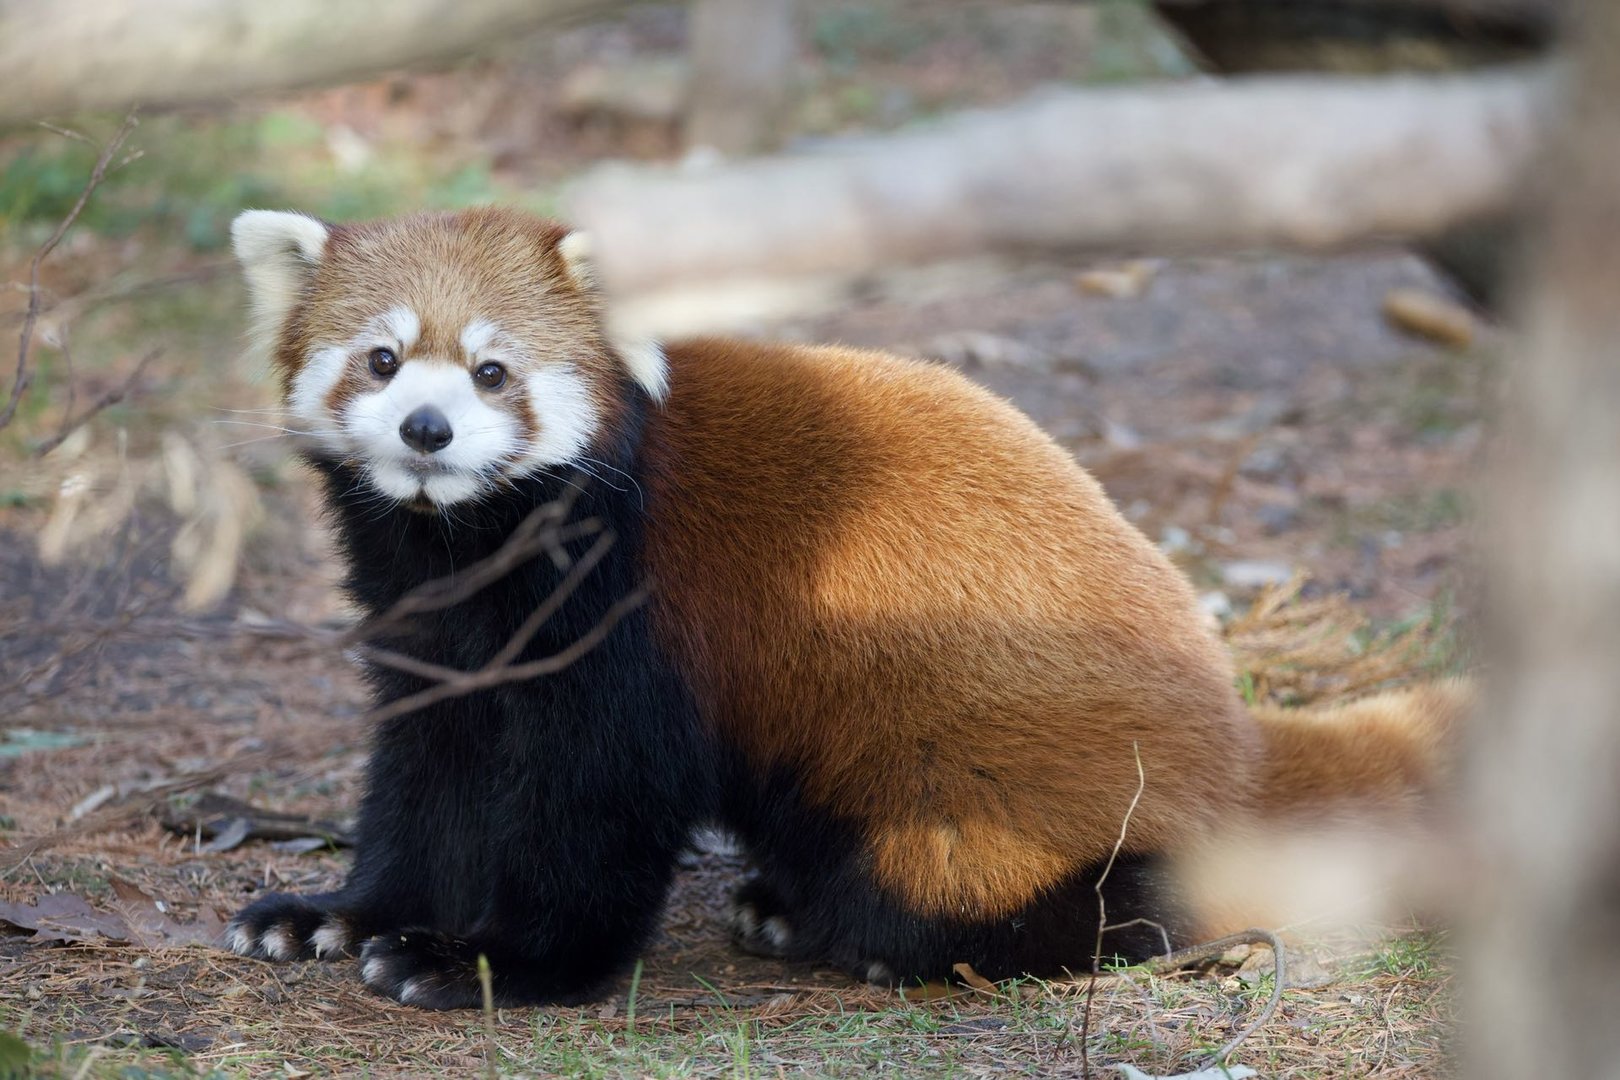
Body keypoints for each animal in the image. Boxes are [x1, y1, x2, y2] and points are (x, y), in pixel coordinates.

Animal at [223, 206, 1464, 1009]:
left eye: (492, 371)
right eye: (382, 361)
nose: (426, 431)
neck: (473, 546)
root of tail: (1237, 736)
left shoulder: (641, 621)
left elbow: (601, 806)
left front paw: (494, 963)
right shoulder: (431, 628)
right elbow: (425, 782)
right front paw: (344, 913)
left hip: (986, 783)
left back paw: (909, 935)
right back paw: (784, 902)